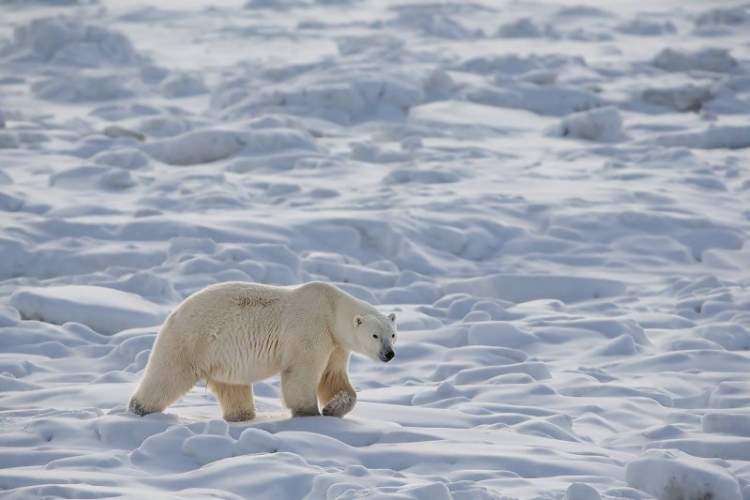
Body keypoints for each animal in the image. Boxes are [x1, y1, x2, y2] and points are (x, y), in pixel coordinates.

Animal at [129, 284, 400, 420]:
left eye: (393, 334)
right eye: (375, 336)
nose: (389, 354)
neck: (332, 308)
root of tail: (174, 313)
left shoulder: (336, 344)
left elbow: (332, 377)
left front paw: (332, 408)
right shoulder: (311, 330)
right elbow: (302, 372)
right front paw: (310, 413)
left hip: (221, 357)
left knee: (233, 387)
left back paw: (242, 415)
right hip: (193, 341)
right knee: (168, 375)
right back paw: (139, 408)